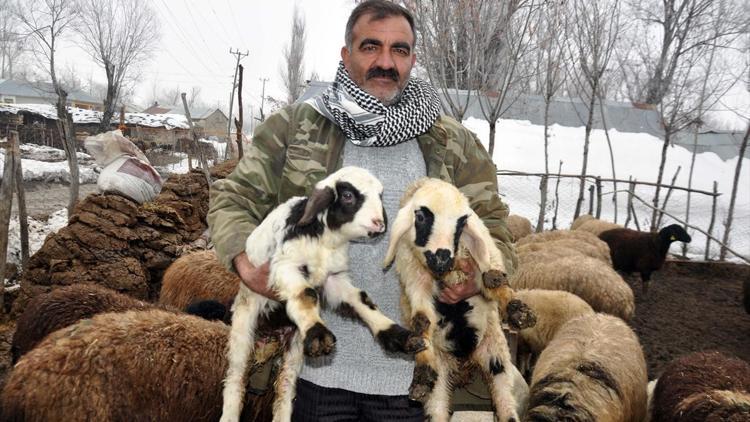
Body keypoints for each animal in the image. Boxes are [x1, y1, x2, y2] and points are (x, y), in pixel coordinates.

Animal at [220, 165, 426, 422]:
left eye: (379, 195)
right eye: (347, 195)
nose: (379, 223)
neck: (326, 240)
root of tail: (270, 338)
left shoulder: (334, 280)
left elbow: (362, 301)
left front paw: (400, 336)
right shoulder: (285, 266)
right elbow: (305, 294)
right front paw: (318, 333)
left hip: (294, 347)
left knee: (284, 387)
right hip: (243, 324)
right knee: (235, 378)